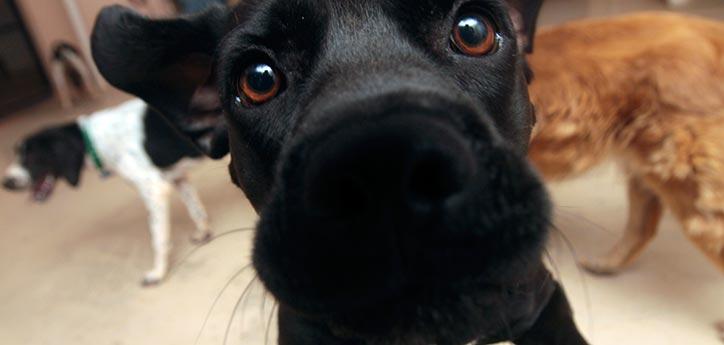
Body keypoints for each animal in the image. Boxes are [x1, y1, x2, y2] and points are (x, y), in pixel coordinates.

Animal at [3, 99, 212, 284]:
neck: (95, 139)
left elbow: (158, 240)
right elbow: (196, 210)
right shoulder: (178, 178)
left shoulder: (155, 190)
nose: (5, 183)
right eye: (17, 154)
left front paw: (158, 273)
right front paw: (203, 233)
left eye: (31, 156)